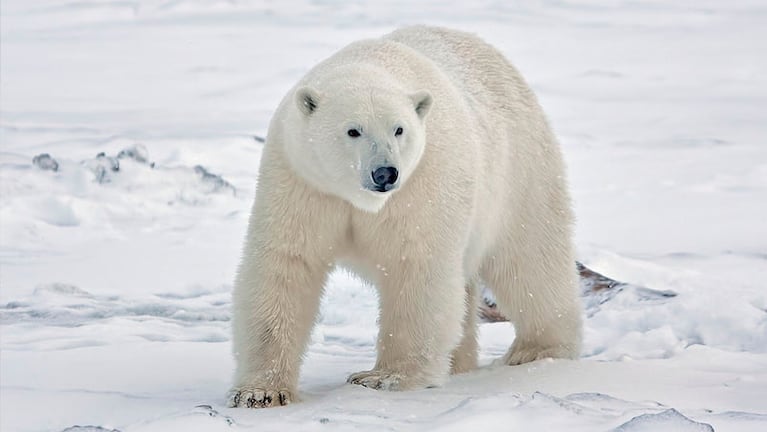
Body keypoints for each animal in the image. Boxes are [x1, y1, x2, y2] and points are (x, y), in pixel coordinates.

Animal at [228, 25, 584, 406]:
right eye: (353, 130)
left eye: (399, 129)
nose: (385, 173)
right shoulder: (301, 180)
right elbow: (286, 264)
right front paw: (260, 392)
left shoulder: (424, 181)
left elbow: (417, 267)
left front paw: (384, 377)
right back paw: (460, 362)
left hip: (519, 168)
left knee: (530, 258)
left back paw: (537, 350)